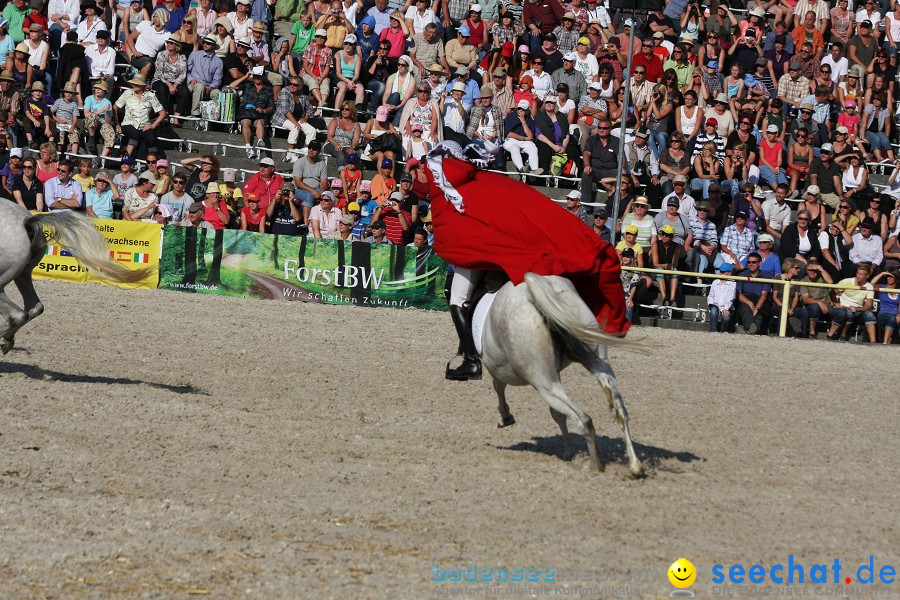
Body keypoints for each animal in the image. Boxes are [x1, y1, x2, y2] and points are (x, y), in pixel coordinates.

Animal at [0, 202, 149, 354]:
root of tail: (27, 221)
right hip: (23, 275)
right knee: (34, 308)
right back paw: (6, 339)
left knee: (18, 315)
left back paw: (4, 339)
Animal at [482, 274, 644, 478]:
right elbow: (557, 415)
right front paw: (568, 452)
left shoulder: (497, 369)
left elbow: (499, 387)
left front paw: (505, 417)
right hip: (597, 361)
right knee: (619, 410)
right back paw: (634, 466)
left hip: (544, 384)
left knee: (584, 420)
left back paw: (595, 466)